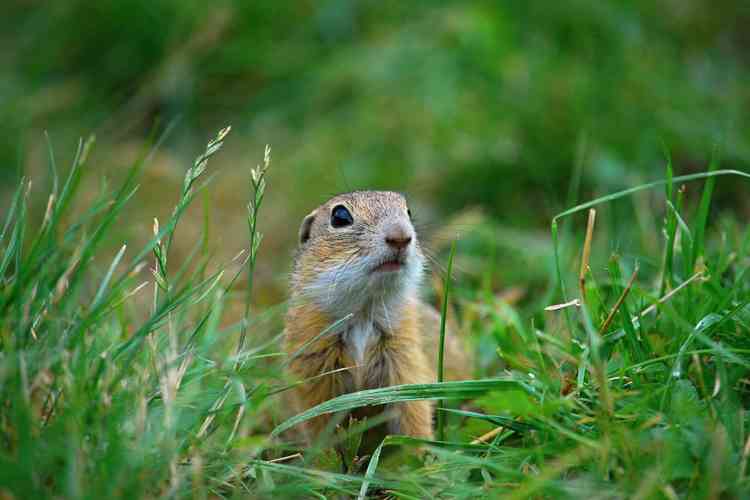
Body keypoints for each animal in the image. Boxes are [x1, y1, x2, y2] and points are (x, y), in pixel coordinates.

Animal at [284, 191, 470, 446]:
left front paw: (423, 452)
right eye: (339, 216)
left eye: (408, 211)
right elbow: (320, 422)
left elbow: (413, 413)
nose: (401, 237)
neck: (364, 311)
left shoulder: (405, 357)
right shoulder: (314, 363)